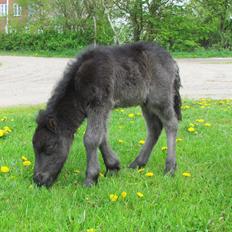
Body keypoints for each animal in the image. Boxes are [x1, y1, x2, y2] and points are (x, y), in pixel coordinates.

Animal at [32, 41, 181, 187]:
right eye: (35, 148)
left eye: (50, 147)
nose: (38, 180)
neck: (79, 84)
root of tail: (172, 60)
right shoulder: (102, 109)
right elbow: (102, 136)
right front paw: (113, 167)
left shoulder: (99, 105)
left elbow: (91, 139)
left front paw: (91, 178)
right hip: (146, 103)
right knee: (154, 128)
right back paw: (137, 164)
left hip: (160, 99)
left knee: (171, 124)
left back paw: (170, 168)